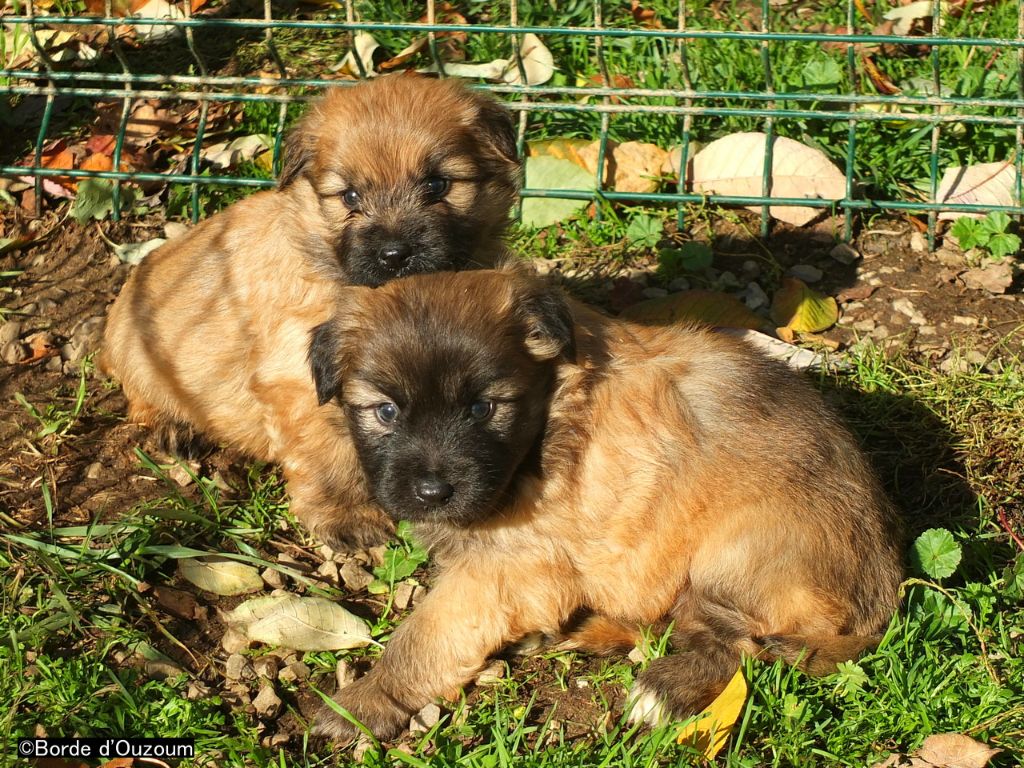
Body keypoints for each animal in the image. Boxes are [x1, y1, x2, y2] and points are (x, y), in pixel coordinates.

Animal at [307, 266, 901, 745]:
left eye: (482, 409)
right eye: (385, 412)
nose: (433, 493)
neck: (549, 417)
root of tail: (883, 602)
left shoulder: (502, 568)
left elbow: (425, 637)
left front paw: (361, 703)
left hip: (738, 552)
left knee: (740, 647)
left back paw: (662, 687)